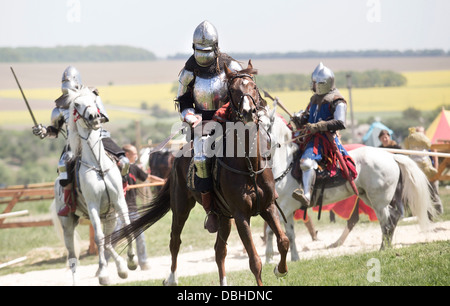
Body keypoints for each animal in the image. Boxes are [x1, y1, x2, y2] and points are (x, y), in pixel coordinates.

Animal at [51, 88, 137, 284]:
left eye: (93, 100)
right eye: (76, 104)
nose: (93, 117)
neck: (98, 165)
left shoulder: (119, 201)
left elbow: (125, 227)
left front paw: (131, 261)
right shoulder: (93, 207)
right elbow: (98, 238)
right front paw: (104, 274)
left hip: (110, 216)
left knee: (109, 240)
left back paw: (121, 268)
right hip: (68, 224)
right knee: (73, 257)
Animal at [111, 61, 290, 286]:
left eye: (254, 87)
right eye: (233, 90)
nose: (249, 112)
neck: (249, 167)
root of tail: (177, 155)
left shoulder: (267, 207)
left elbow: (284, 241)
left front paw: (280, 269)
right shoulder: (241, 216)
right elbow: (254, 261)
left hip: (223, 216)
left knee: (219, 251)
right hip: (181, 207)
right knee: (175, 241)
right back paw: (171, 278)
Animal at [262, 107, 438, 260]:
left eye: (267, 125)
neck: (285, 163)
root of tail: (391, 156)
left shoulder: (287, 205)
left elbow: (272, 230)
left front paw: (269, 258)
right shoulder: (285, 208)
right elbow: (290, 233)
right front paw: (294, 258)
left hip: (379, 200)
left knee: (386, 220)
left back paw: (382, 248)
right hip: (368, 196)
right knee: (392, 217)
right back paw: (385, 246)